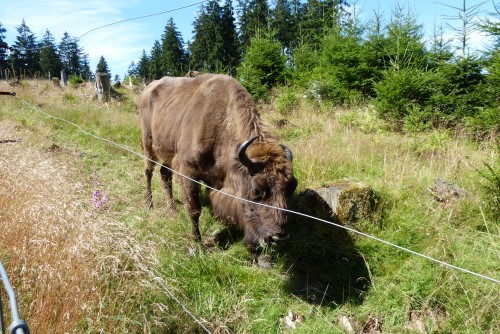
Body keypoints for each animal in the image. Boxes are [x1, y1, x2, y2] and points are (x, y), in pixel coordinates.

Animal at [140, 74, 296, 249]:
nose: (278, 238)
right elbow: (194, 210)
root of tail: (147, 89)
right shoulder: (188, 171)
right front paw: (197, 245)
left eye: (292, 187)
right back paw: (149, 205)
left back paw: (172, 211)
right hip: (148, 144)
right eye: (256, 189)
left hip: (167, 152)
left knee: (164, 174)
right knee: (148, 172)